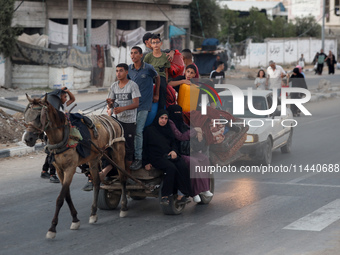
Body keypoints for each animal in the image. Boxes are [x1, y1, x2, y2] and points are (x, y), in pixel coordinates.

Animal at [22, 94, 129, 239]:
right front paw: (75, 220)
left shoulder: (70, 169)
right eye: (26, 115)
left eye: (39, 116)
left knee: (123, 178)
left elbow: (60, 198)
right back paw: (93, 213)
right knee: (97, 182)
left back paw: (123, 208)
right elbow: (66, 195)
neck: (62, 136)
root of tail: (112, 118)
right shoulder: (60, 170)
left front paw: (52, 228)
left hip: (118, 153)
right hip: (94, 158)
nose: (28, 139)